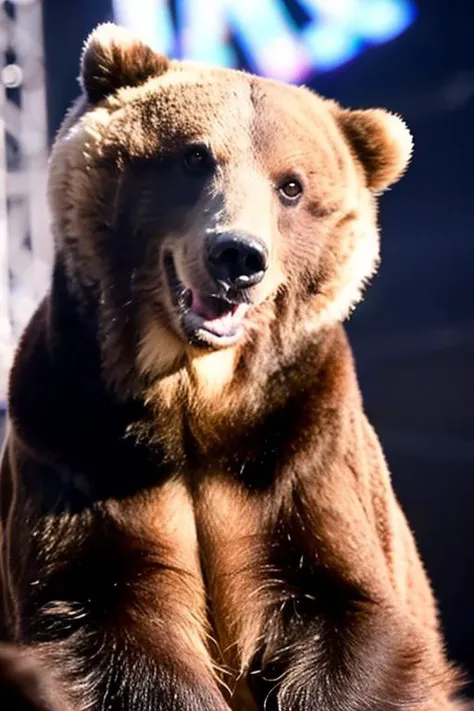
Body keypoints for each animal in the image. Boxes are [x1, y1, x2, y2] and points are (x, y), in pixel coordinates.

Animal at [0, 22, 466, 711]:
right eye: (194, 156)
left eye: (291, 185)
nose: (238, 256)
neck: (195, 393)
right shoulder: (77, 452)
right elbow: (110, 628)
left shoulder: (300, 453)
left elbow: (349, 615)